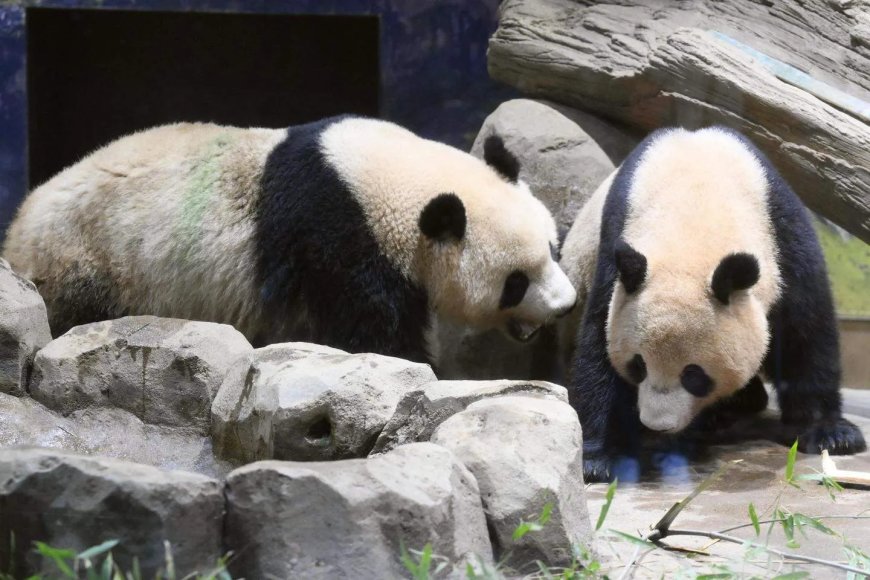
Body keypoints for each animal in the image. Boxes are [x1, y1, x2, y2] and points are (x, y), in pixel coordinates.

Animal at [3, 116, 577, 366]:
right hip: (87, 256)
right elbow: (370, 331)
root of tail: (20, 223)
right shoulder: (335, 239)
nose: (567, 305)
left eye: (552, 250)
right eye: (514, 282)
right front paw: (419, 368)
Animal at [560, 126, 866, 482]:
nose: (657, 424)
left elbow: (804, 332)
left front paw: (832, 434)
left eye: (694, 375)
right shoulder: (616, 250)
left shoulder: (782, 232)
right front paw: (596, 460)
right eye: (638, 366)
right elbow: (598, 341)